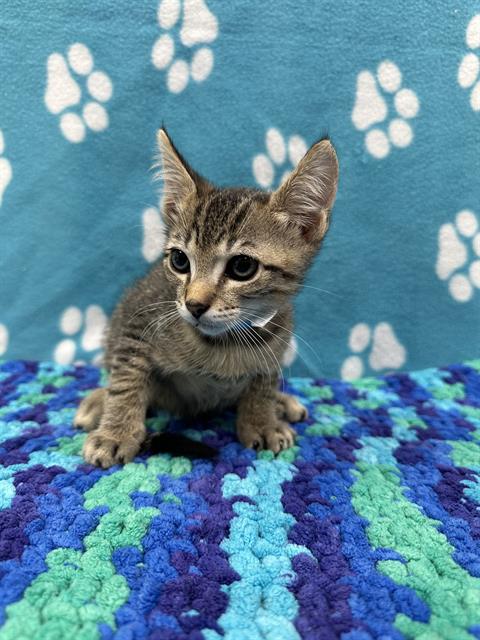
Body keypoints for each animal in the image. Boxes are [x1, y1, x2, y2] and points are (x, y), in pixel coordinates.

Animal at [75, 127, 338, 468]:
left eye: (242, 267)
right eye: (179, 261)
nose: (194, 305)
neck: (226, 342)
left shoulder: (277, 340)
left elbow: (263, 383)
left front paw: (262, 421)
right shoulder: (138, 322)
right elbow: (126, 380)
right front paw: (116, 433)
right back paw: (98, 403)